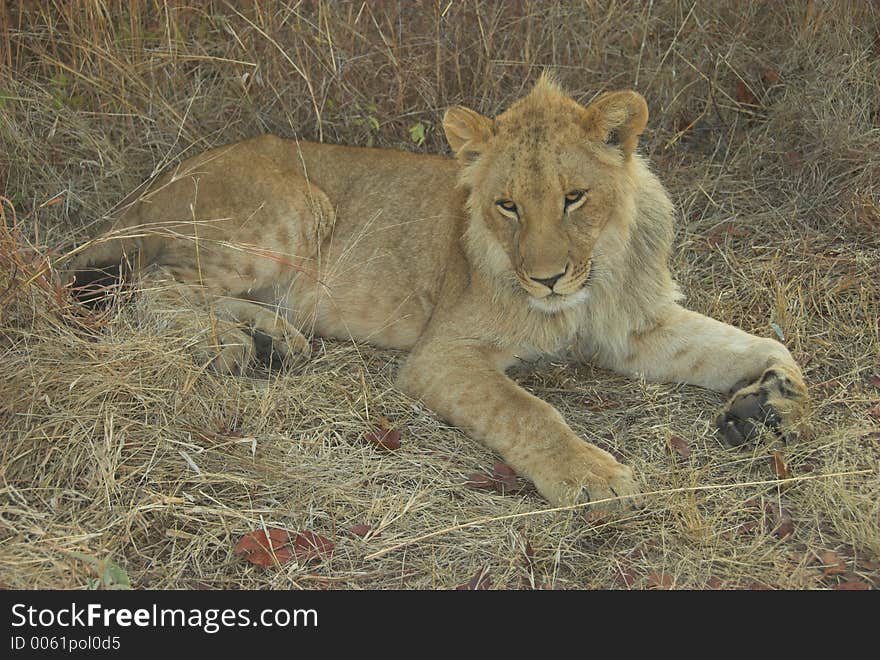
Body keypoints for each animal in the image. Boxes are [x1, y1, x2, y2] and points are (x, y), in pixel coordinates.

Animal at [67, 77, 812, 510]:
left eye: (574, 198)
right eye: (507, 205)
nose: (545, 278)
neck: (591, 278)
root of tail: (164, 176)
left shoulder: (635, 328)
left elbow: (748, 343)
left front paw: (773, 402)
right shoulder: (442, 354)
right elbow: (528, 411)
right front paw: (591, 476)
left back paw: (272, 339)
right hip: (297, 210)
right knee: (150, 289)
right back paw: (227, 344)